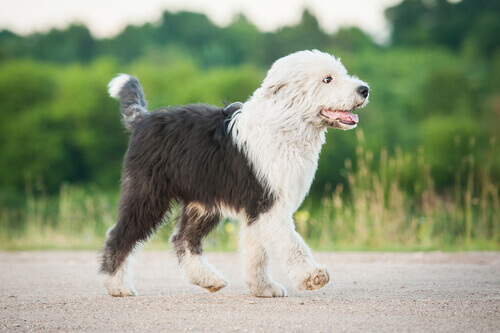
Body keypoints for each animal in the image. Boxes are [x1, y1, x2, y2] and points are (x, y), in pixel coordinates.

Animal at [99, 49, 370, 296]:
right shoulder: (267, 203)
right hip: (148, 194)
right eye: (327, 79)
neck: (285, 125)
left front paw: (263, 288)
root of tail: (142, 120)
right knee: (118, 234)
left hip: (203, 202)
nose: (364, 89)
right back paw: (117, 286)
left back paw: (208, 279)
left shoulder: (258, 209)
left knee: (183, 240)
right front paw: (312, 276)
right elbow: (291, 242)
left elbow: (257, 252)